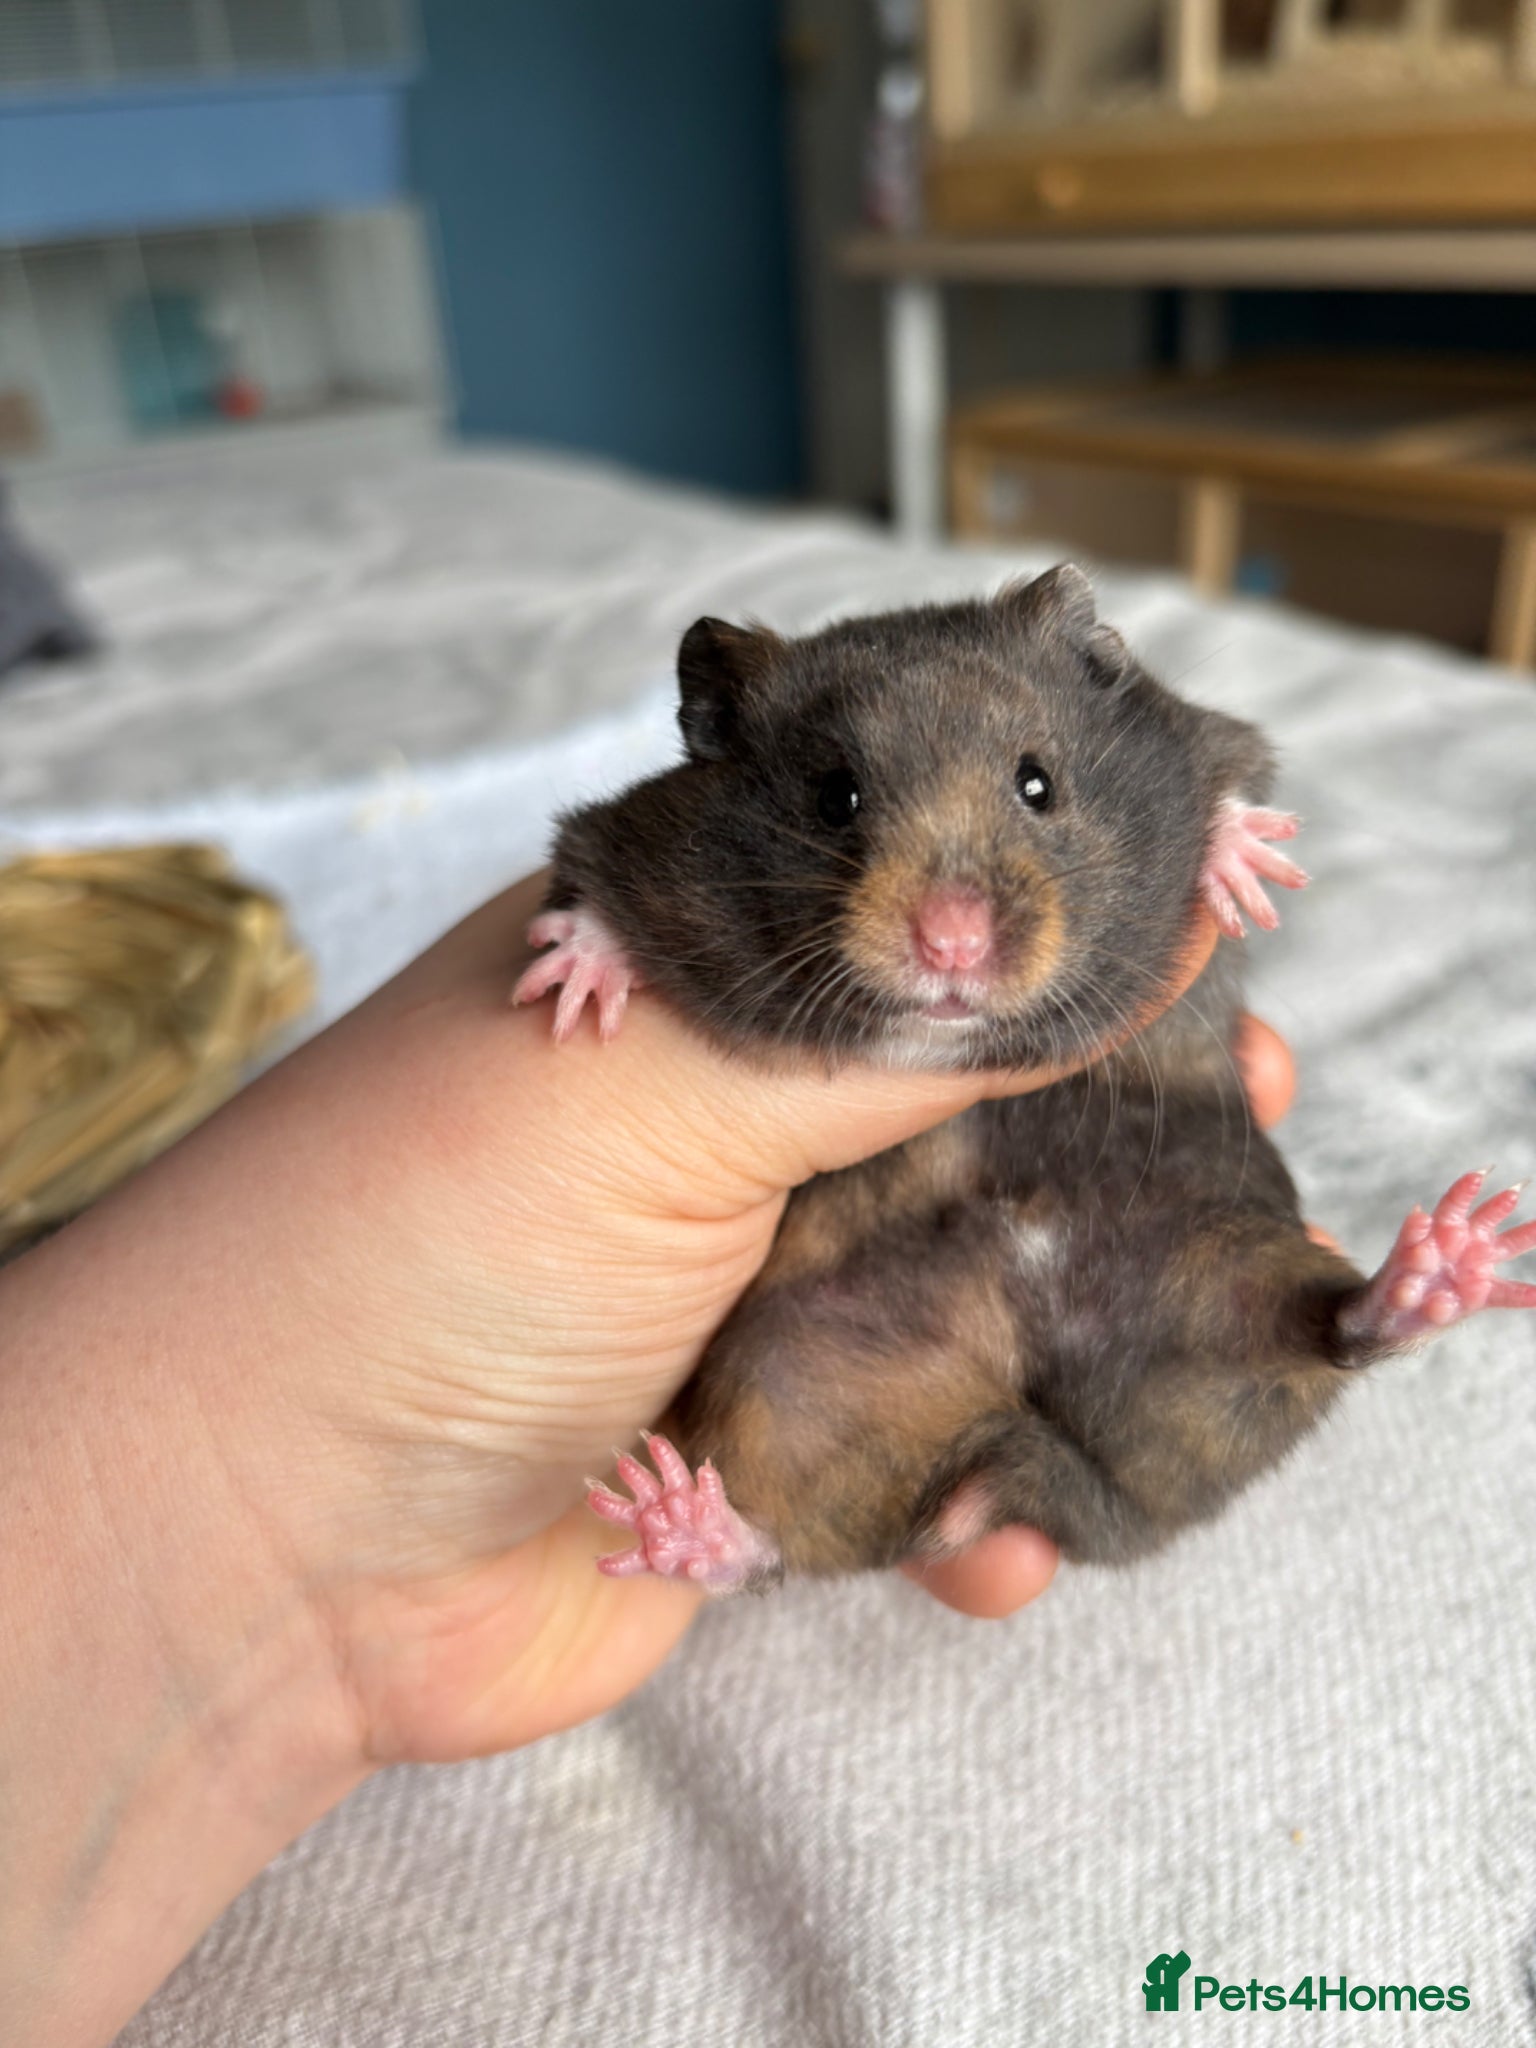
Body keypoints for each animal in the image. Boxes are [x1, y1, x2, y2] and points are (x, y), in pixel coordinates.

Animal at [514, 564, 1536, 1593]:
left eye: (1037, 783)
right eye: (836, 798)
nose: (952, 943)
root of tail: (1069, 1470)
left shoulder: (1210, 742)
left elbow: (1234, 788)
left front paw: (1244, 865)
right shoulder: (619, 837)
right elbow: (585, 891)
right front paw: (570, 993)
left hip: (1223, 1266)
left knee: (1326, 1330)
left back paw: (1455, 1256)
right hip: (786, 1376)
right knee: (780, 1545)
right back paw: (675, 1523)